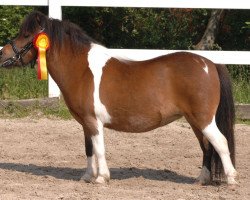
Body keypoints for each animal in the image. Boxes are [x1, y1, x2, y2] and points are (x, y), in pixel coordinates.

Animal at [0, 11, 237, 185]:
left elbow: (99, 149)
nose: (2, 54)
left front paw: (101, 178)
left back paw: (232, 180)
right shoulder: (85, 123)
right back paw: (201, 180)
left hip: (203, 119)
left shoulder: (93, 121)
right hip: (194, 121)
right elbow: (89, 149)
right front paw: (87, 176)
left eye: (27, 35)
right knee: (207, 147)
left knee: (220, 143)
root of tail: (209, 63)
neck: (82, 69)